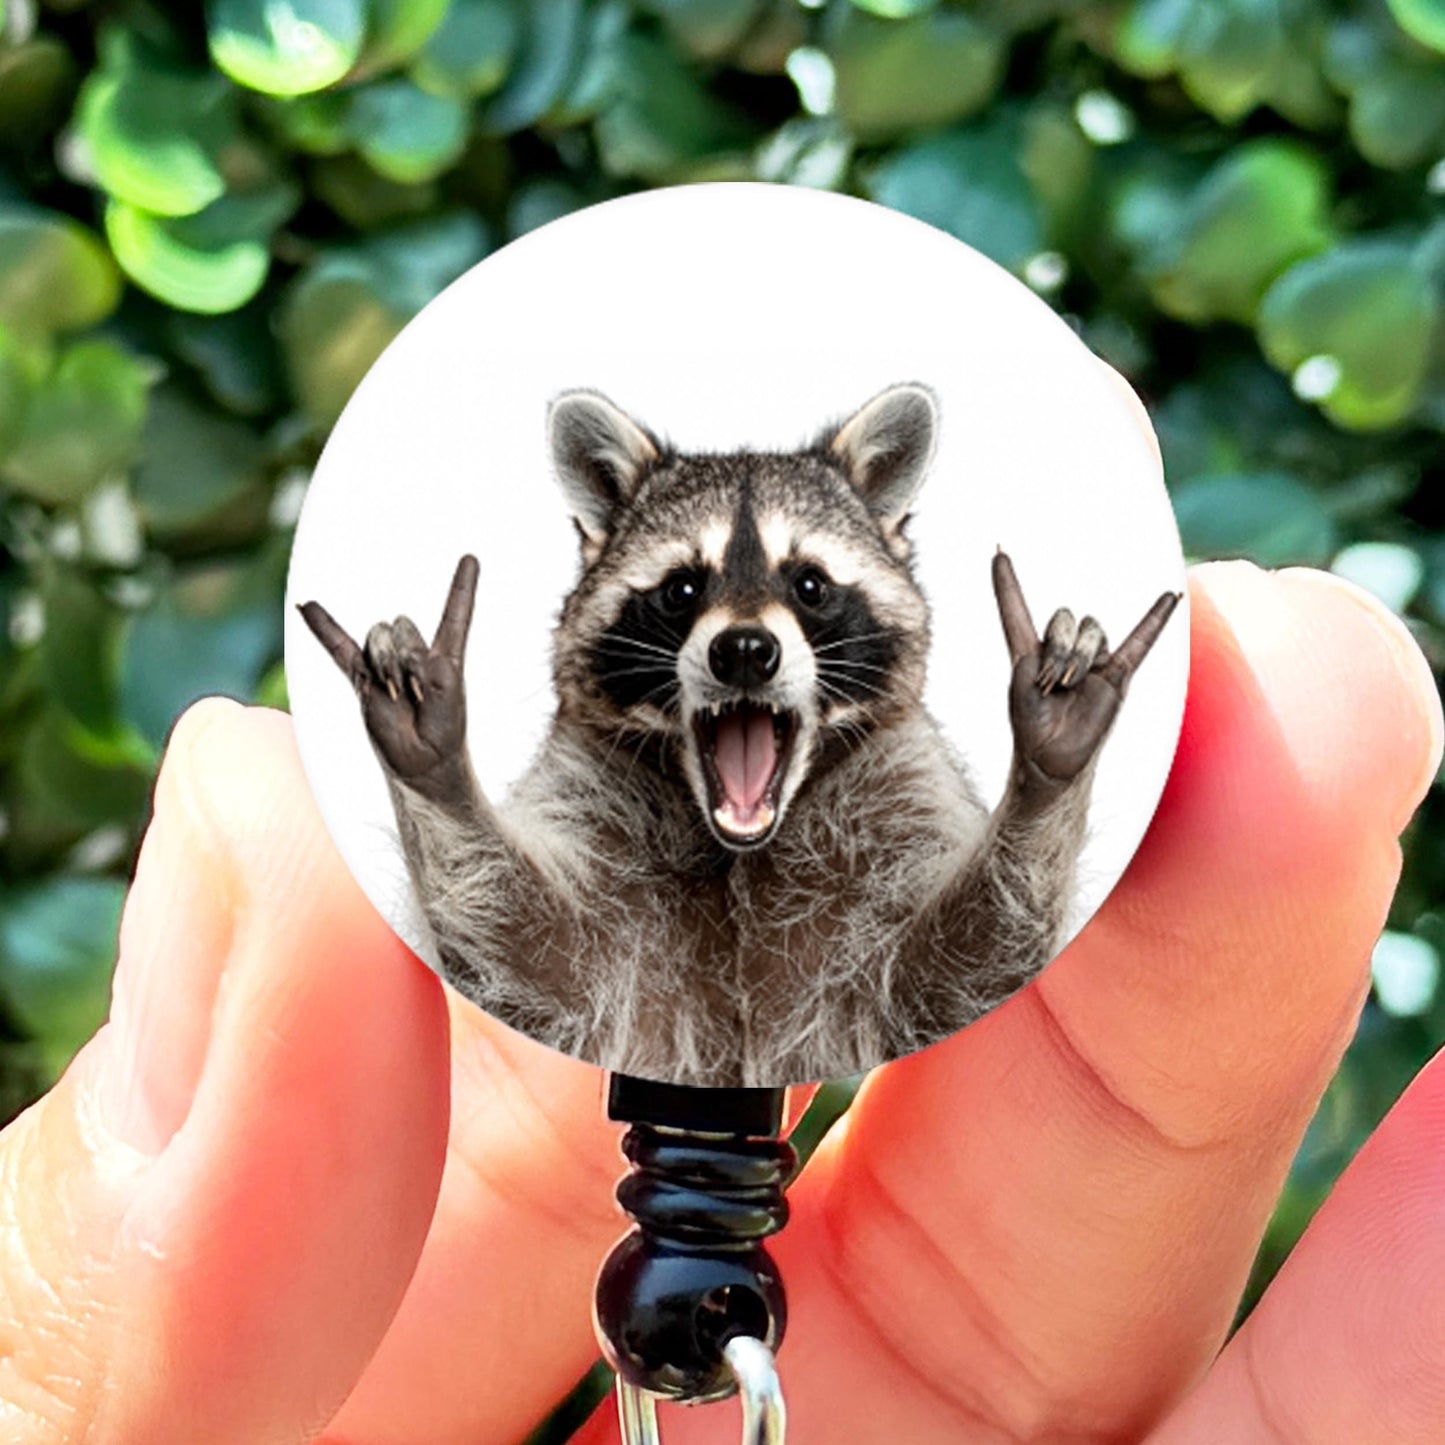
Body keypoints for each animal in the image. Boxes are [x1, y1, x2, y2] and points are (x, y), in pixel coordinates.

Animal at [301, 385, 1178, 1086]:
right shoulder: (591, 802)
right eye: (682, 588)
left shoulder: (900, 793)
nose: (746, 650)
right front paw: (438, 766)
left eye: (810, 584)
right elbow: (526, 959)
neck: (741, 849)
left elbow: (961, 968)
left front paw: (1045, 768)